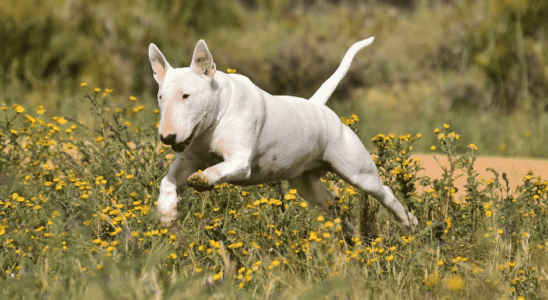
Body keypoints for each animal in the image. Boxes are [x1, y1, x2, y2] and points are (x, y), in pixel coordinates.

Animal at [148, 38, 418, 234]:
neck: (212, 121)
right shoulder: (188, 159)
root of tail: (318, 106)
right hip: (307, 185)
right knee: (333, 203)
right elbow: (168, 180)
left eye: (186, 96)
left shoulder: (240, 162)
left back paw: (408, 223)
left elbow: (217, 169)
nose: (167, 138)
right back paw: (351, 236)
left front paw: (203, 179)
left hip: (358, 172)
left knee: (384, 193)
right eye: (160, 97)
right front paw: (166, 212)